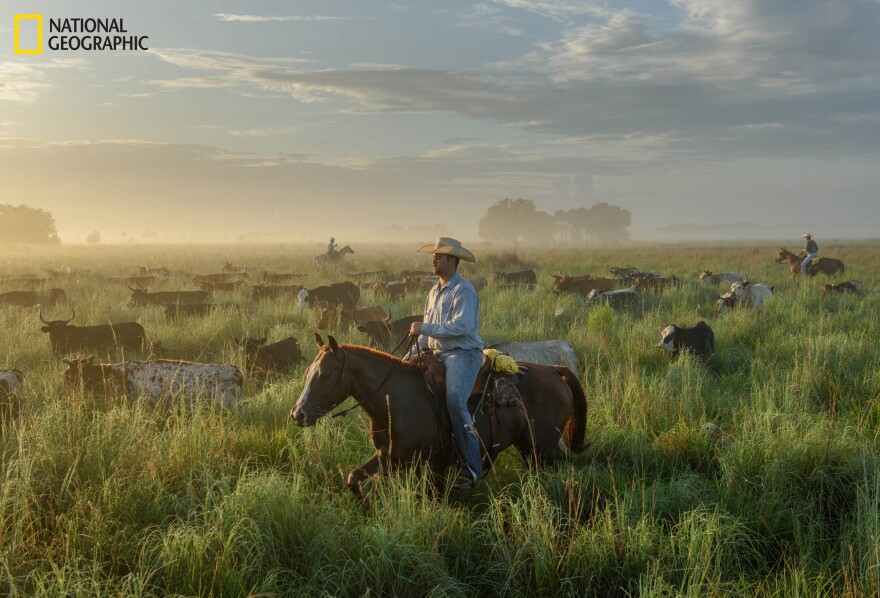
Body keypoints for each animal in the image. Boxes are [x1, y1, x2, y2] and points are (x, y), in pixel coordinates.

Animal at [292, 338, 588, 502]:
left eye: (325, 375)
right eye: (307, 372)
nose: (298, 414)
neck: (396, 399)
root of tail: (554, 369)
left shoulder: (434, 466)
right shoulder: (390, 458)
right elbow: (353, 478)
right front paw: (366, 508)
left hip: (545, 446)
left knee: (566, 467)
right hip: (529, 449)